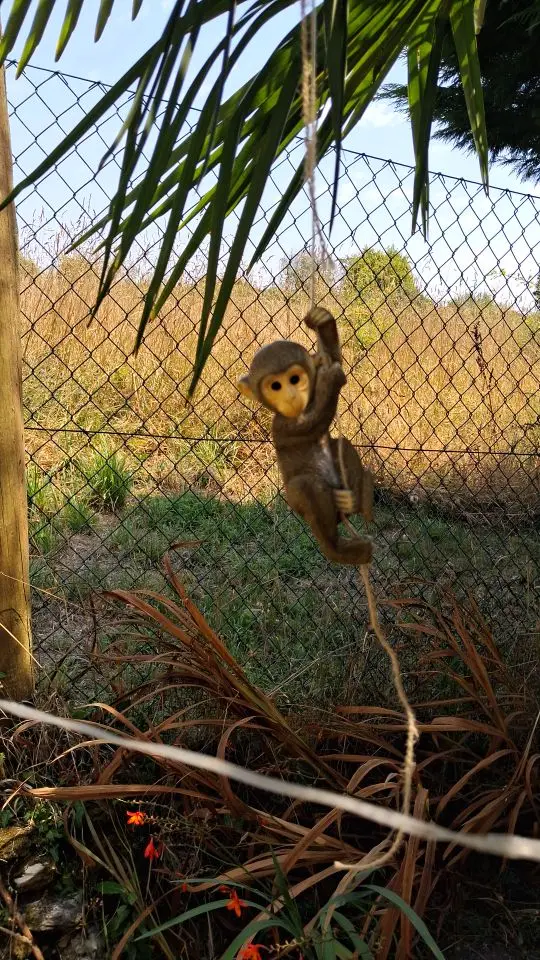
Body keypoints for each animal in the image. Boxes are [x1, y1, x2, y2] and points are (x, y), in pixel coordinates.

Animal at [237, 307, 373, 566]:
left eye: (294, 379)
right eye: (275, 386)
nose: (291, 396)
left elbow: (334, 359)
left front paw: (323, 321)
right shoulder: (281, 426)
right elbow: (311, 424)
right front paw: (332, 379)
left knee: (341, 444)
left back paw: (357, 503)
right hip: (296, 501)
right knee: (306, 485)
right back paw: (338, 550)